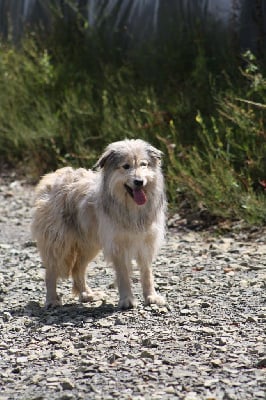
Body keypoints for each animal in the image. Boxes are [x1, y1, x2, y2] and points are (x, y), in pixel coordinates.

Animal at [31, 138, 166, 310]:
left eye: (144, 164)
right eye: (126, 166)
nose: (139, 182)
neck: (131, 207)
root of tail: (51, 176)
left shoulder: (146, 243)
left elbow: (147, 273)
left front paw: (151, 297)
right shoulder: (117, 245)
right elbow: (123, 274)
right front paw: (127, 299)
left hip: (89, 244)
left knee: (77, 268)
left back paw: (87, 294)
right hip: (58, 243)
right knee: (51, 271)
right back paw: (52, 300)